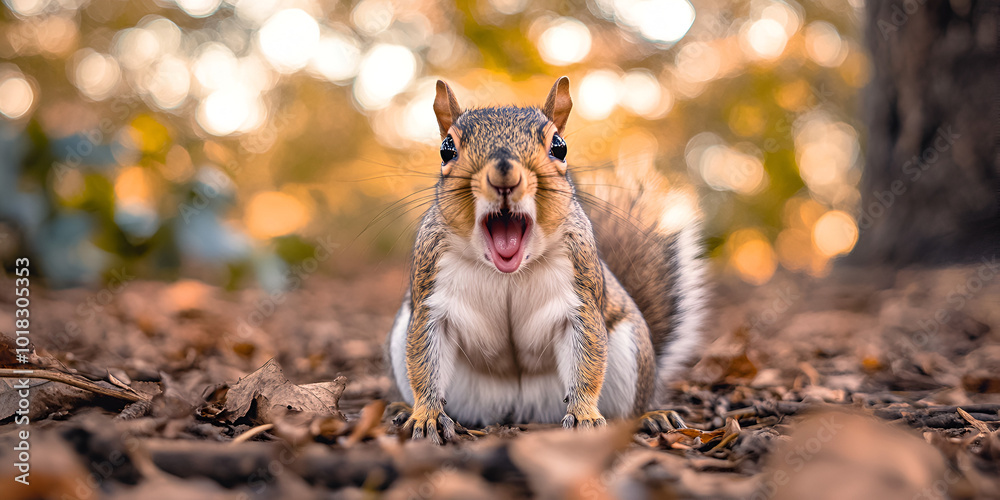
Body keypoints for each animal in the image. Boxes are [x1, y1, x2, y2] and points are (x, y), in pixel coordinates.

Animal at [386, 77, 707, 443]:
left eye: (559, 147)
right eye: (446, 150)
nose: (505, 175)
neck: (508, 271)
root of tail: (519, 410)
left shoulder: (580, 299)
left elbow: (587, 363)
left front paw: (583, 415)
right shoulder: (431, 300)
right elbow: (424, 366)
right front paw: (425, 416)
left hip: (630, 351)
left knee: (627, 409)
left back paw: (651, 417)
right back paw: (403, 409)